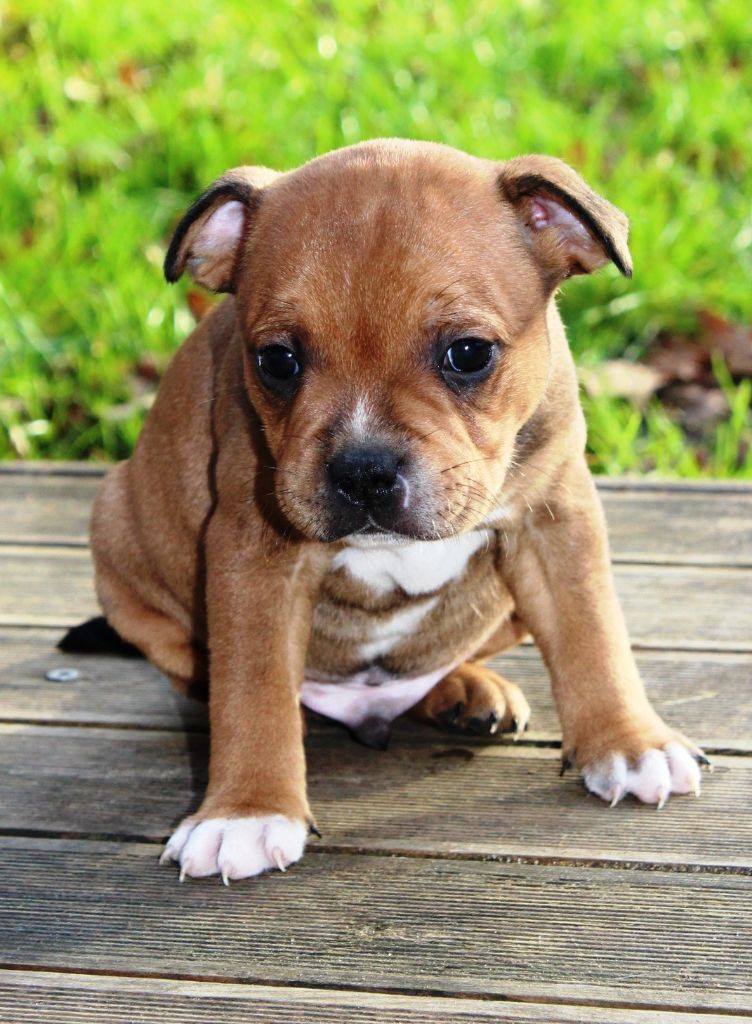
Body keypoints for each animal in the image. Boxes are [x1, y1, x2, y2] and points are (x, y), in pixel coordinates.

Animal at [64, 139, 707, 883]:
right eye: (277, 360)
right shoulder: (255, 553)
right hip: (115, 526)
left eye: (468, 353)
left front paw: (629, 743)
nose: (364, 471)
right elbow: (253, 685)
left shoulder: (556, 520)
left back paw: (466, 690)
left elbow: (592, 632)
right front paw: (246, 811)